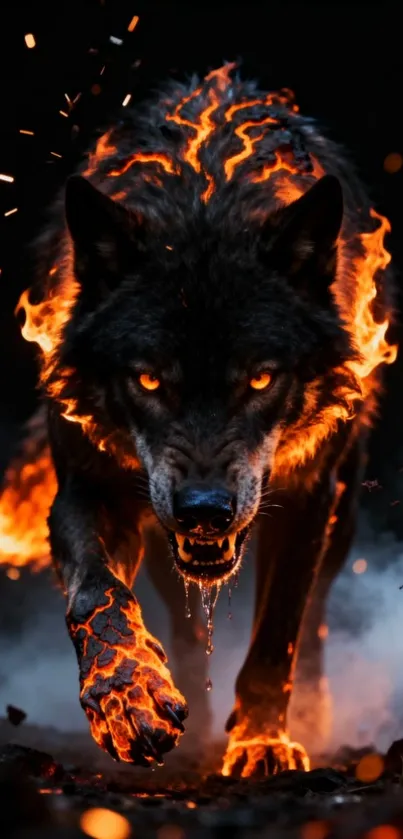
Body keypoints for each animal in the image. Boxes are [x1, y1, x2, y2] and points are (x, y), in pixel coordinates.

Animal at [13, 64, 395, 775]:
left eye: (261, 377)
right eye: (148, 379)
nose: (205, 512)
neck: (205, 200)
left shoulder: (310, 496)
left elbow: (278, 631)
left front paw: (263, 740)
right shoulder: (88, 489)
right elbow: (97, 594)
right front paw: (128, 697)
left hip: (343, 509)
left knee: (316, 616)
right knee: (183, 621)